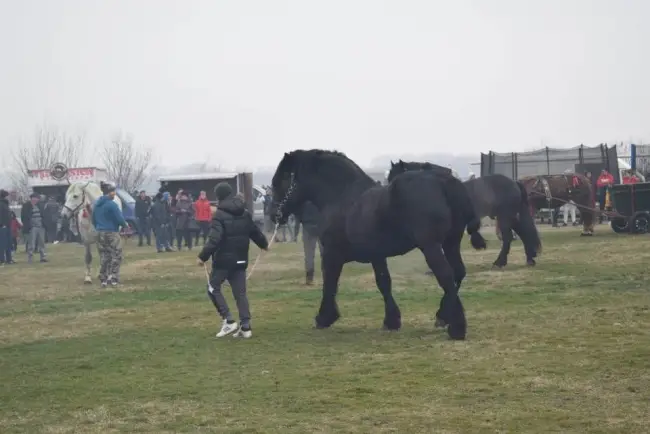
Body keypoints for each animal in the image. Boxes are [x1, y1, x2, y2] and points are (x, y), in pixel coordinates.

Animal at [268, 149, 486, 340]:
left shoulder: (332, 254)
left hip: (431, 246)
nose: (273, 215)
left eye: (282, 179)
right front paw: (392, 320)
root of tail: (444, 182)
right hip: (451, 243)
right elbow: (384, 282)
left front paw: (324, 317)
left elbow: (329, 283)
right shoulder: (377, 255)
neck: (342, 196)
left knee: (446, 275)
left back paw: (456, 327)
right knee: (458, 272)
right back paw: (443, 316)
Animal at [388, 161, 540, 270]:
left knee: (508, 238)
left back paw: (499, 262)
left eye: (395, 176)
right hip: (510, 216)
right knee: (524, 233)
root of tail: (514, 182)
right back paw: (530, 259)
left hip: (504, 216)